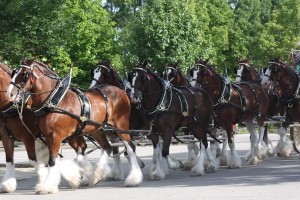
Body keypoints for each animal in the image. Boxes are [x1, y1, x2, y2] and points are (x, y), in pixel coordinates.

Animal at [6, 58, 142, 194]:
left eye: (24, 74)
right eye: (14, 73)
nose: (9, 94)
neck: (54, 101)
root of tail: (121, 91)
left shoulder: (55, 136)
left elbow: (53, 160)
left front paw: (48, 186)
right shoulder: (51, 137)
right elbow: (67, 157)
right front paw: (75, 177)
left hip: (121, 126)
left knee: (130, 147)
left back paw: (133, 178)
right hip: (97, 129)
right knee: (107, 148)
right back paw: (95, 175)